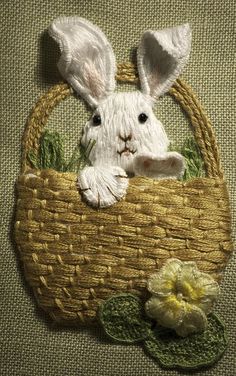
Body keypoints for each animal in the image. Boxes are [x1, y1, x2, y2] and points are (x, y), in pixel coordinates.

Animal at [48, 16, 191, 207]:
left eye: (143, 117)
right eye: (97, 120)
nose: (125, 135)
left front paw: (161, 164)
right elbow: (97, 171)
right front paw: (105, 188)